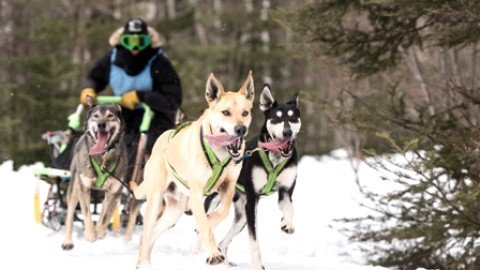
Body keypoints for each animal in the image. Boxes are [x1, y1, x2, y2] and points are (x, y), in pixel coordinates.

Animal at [61, 96, 127, 249]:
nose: (101, 124)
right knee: (70, 214)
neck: (102, 158)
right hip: (74, 188)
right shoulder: (83, 187)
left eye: (110, 116)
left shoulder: (115, 191)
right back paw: (67, 241)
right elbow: (86, 212)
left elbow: (106, 215)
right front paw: (91, 233)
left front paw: (100, 232)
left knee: (104, 210)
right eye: (96, 116)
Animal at [131, 71, 255, 268]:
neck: (218, 152)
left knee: (152, 233)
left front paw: (212, 221)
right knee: (147, 230)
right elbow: (204, 226)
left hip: (175, 210)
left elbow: (222, 211)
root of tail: (161, 139)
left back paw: (143, 262)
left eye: (245, 112)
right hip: (156, 200)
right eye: (226, 112)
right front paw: (214, 254)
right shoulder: (197, 195)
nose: (240, 129)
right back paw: (144, 263)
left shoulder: (228, 186)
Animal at [204, 85, 302, 270]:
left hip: (241, 218)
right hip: (218, 203)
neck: (274, 157)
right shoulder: (252, 200)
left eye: (293, 118)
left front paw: (287, 224)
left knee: (222, 242)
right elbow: (254, 240)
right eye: (276, 118)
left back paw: (224, 259)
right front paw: (257, 265)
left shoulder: (286, 191)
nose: (287, 132)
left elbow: (289, 208)